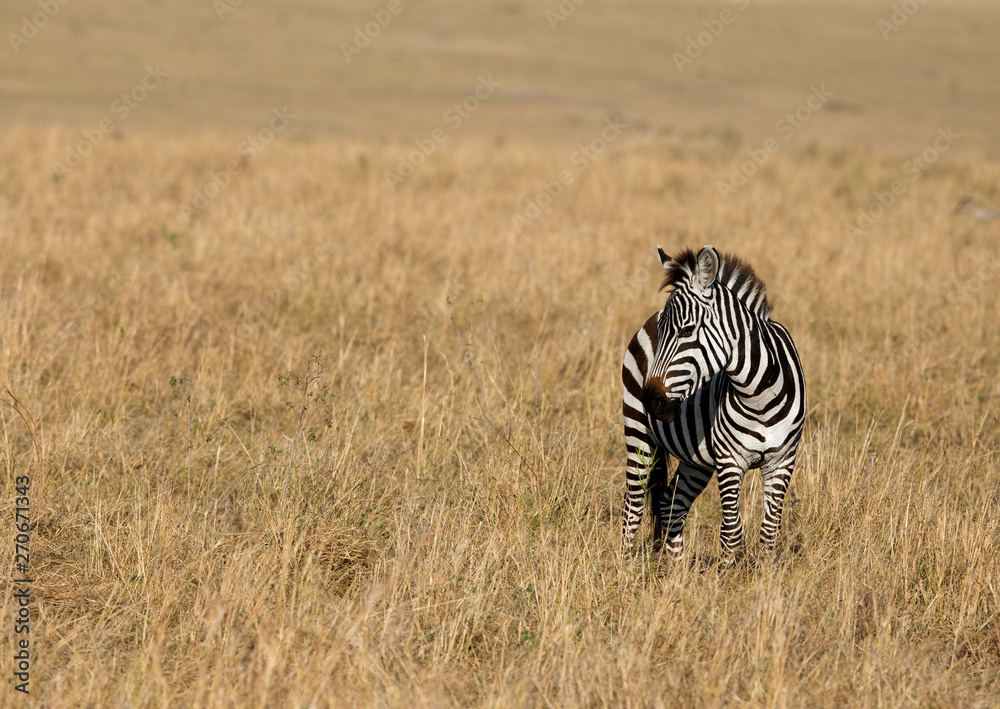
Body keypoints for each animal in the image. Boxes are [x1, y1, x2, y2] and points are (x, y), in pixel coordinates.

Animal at [621, 245, 806, 562]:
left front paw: (768, 574)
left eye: (686, 331)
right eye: (662, 334)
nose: (652, 403)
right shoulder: (729, 460)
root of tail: (648, 318)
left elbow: (769, 533)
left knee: (671, 504)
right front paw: (730, 573)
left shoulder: (783, 459)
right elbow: (731, 533)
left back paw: (676, 569)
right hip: (638, 434)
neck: (760, 395)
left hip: (695, 459)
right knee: (633, 503)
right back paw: (624, 566)